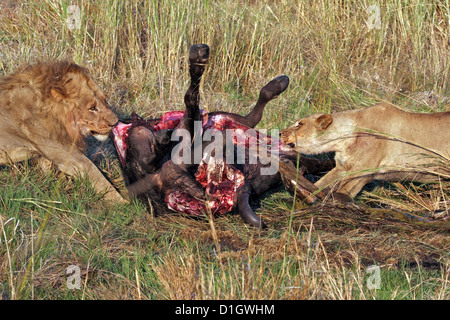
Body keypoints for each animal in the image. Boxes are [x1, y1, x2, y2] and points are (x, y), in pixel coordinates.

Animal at [0, 61, 124, 201]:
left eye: (104, 100)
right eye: (92, 108)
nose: (115, 122)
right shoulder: (67, 155)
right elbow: (95, 173)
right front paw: (123, 202)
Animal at [282, 103, 450, 202]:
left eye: (299, 124)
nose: (280, 132)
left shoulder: (362, 170)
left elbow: (343, 191)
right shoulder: (342, 167)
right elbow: (321, 184)